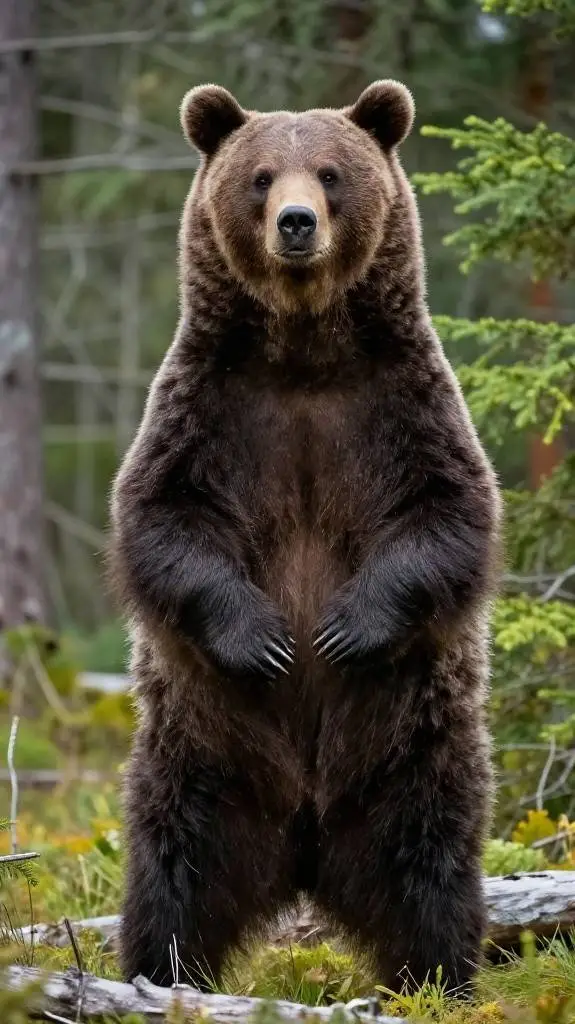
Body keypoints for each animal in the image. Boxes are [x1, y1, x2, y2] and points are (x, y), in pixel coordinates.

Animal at [110, 79, 501, 996]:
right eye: (259, 177)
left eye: (329, 173)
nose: (296, 223)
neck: (302, 350)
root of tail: (304, 847)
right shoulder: (208, 408)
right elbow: (162, 519)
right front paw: (266, 640)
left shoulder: (400, 401)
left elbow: (447, 513)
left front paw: (342, 628)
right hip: (201, 755)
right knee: (172, 868)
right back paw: (158, 973)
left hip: (410, 751)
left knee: (429, 865)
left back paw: (441, 978)